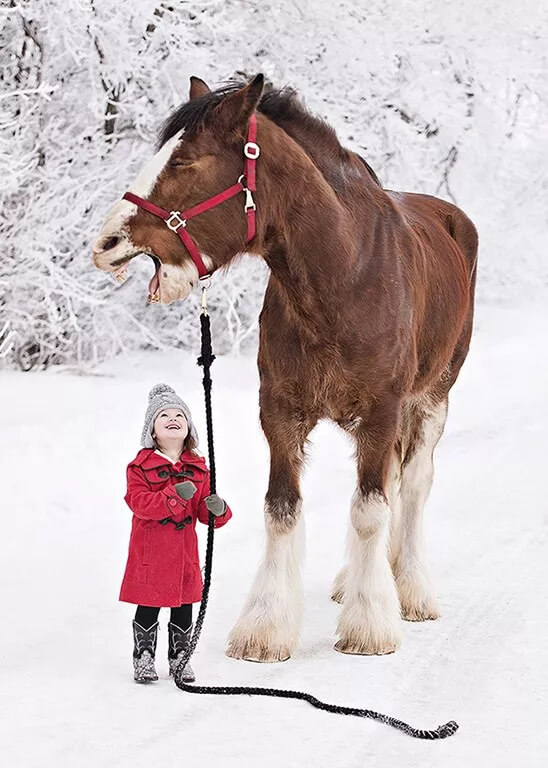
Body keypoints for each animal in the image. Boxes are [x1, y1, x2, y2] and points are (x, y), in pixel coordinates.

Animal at [92, 75, 478, 660]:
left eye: (185, 161)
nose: (106, 243)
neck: (343, 276)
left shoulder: (383, 410)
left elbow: (370, 510)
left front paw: (370, 625)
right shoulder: (279, 412)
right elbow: (281, 509)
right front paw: (266, 627)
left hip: (432, 398)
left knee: (410, 487)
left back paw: (409, 590)